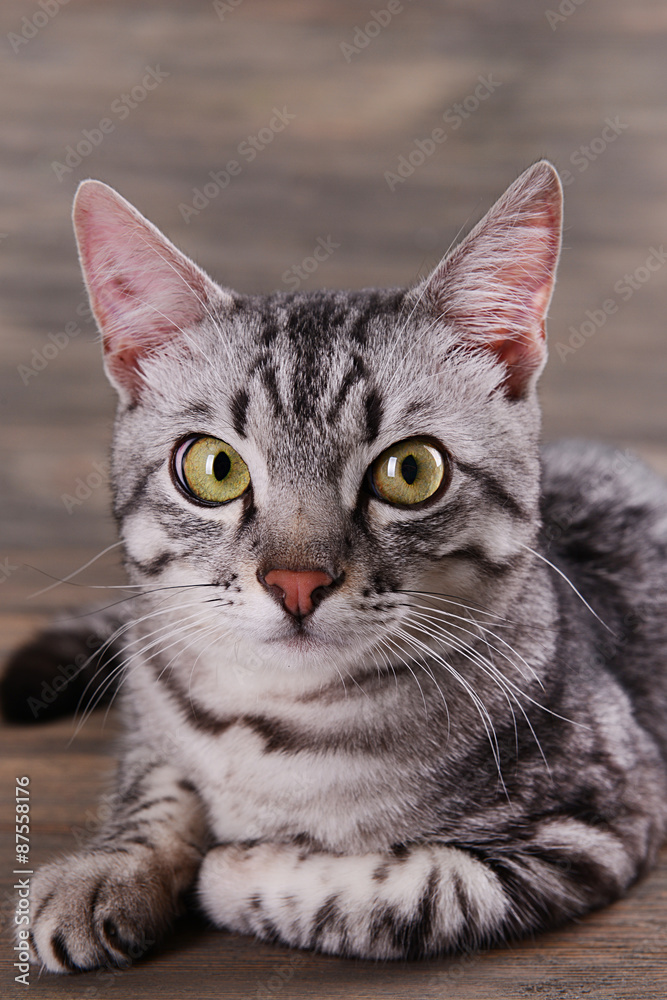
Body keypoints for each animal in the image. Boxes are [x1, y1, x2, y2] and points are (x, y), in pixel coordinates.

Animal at [5, 162, 667, 968]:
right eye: (214, 467)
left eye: (411, 471)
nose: (296, 582)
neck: (271, 724)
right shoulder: (148, 705)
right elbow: (156, 785)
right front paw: (104, 871)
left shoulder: (595, 821)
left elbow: (407, 889)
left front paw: (235, 865)